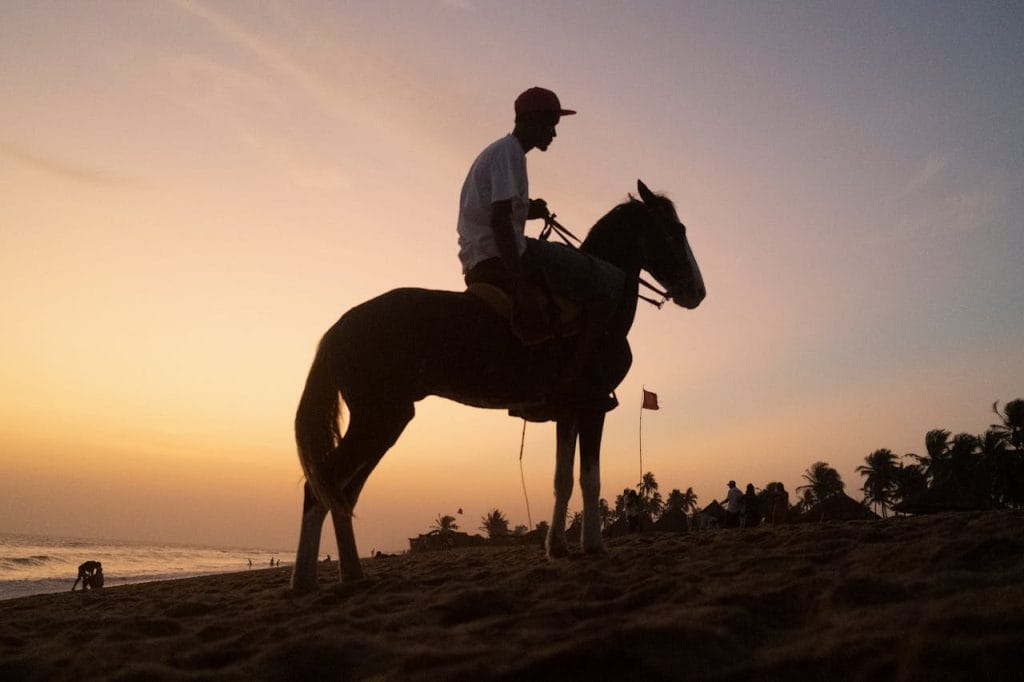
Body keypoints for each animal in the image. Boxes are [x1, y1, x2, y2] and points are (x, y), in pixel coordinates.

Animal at [290, 180, 705, 592]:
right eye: (676, 230)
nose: (697, 292)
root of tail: (340, 327)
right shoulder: (592, 405)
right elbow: (590, 479)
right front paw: (593, 546)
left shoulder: (567, 411)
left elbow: (562, 480)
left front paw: (557, 547)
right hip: (378, 419)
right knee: (322, 487)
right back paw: (305, 580)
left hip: (386, 423)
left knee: (342, 492)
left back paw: (351, 574)